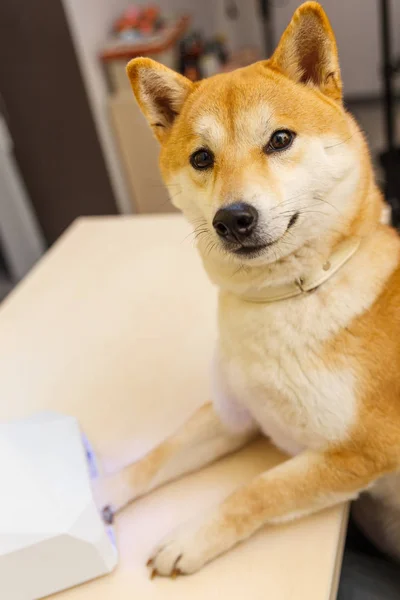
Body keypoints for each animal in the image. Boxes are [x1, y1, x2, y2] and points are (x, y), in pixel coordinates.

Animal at [98, 2, 400, 580]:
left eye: (279, 140)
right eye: (201, 158)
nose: (233, 219)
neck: (287, 300)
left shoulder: (363, 452)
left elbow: (258, 491)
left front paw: (190, 536)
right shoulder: (232, 412)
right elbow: (155, 458)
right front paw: (96, 489)